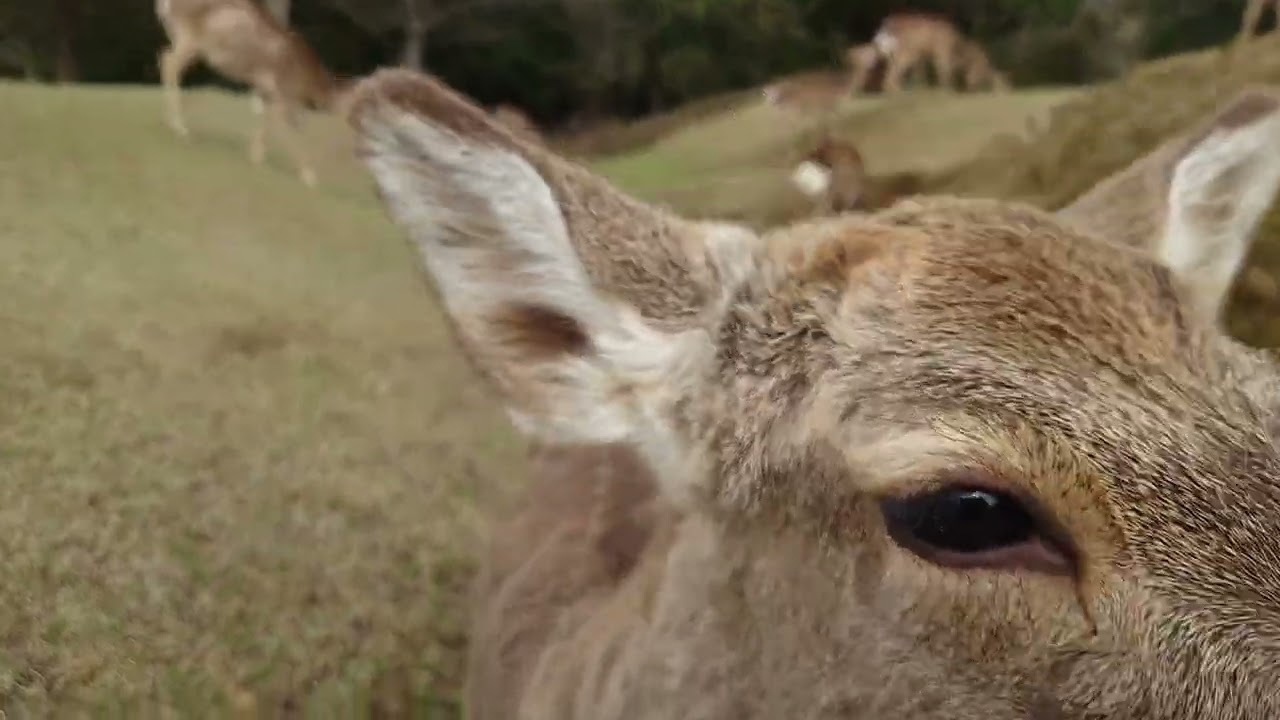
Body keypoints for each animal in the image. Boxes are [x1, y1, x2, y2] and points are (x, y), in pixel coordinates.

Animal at [155, 0, 346, 187]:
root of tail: (165, 4)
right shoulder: (283, 94)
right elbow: (290, 131)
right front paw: (310, 177)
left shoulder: (269, 92)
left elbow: (268, 121)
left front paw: (255, 156)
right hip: (190, 38)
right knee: (169, 63)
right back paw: (181, 129)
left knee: (166, 60)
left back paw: (169, 122)